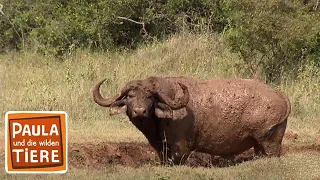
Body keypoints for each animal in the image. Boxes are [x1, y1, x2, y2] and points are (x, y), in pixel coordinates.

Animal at [92, 76, 290, 165]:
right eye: (130, 96)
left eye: (149, 97)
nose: (139, 111)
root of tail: (280, 95)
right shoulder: (161, 149)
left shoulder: (181, 149)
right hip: (258, 145)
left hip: (269, 140)